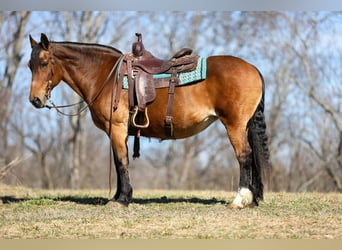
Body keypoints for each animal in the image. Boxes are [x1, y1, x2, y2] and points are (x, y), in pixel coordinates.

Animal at [27, 33, 270, 209]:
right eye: (30, 64)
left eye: (44, 62)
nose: (35, 100)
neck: (105, 76)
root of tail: (253, 69)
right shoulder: (118, 132)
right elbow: (119, 162)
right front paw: (119, 196)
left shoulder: (117, 129)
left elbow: (122, 162)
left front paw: (122, 199)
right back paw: (253, 199)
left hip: (235, 125)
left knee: (245, 156)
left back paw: (239, 200)